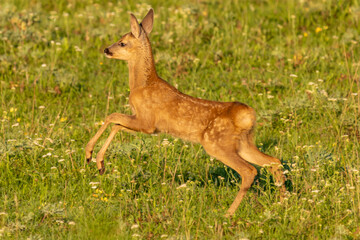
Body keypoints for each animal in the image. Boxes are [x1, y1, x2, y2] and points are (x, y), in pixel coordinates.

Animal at [86, 8, 286, 216]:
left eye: (122, 42)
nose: (106, 50)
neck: (141, 84)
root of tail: (247, 115)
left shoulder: (146, 120)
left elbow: (113, 117)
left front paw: (91, 156)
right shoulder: (151, 128)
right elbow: (116, 125)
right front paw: (99, 163)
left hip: (216, 143)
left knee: (249, 171)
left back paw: (228, 213)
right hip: (243, 143)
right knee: (274, 161)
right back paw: (283, 203)